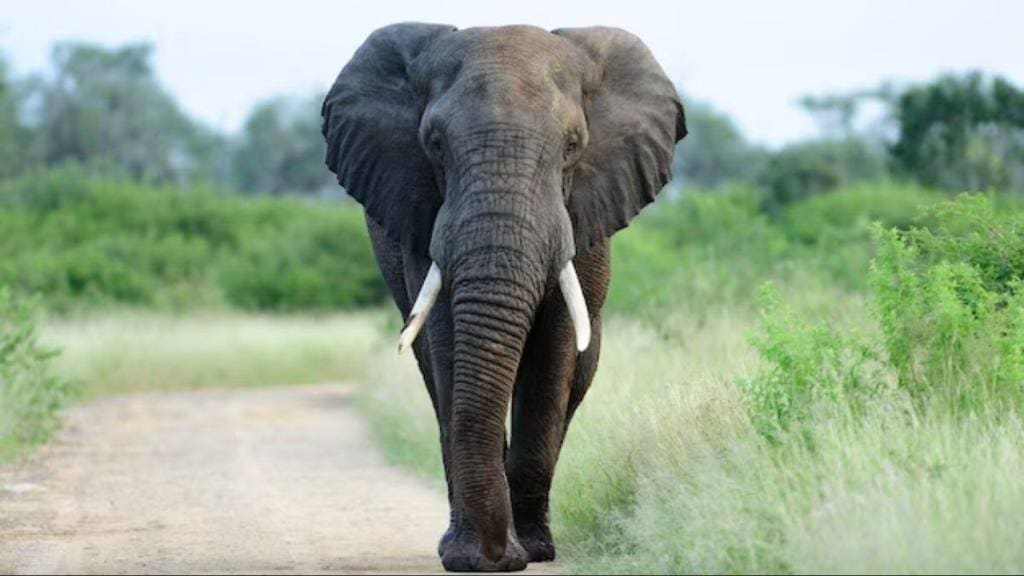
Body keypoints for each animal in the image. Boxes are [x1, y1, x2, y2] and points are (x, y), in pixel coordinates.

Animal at [322, 23, 685, 572]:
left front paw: (532, 552)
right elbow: (448, 338)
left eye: (572, 145)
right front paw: (473, 558)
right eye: (433, 144)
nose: (497, 556)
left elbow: (554, 353)